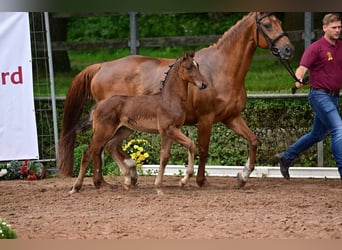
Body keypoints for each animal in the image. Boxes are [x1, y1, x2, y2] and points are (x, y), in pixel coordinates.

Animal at [70, 51, 206, 194]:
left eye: (198, 66)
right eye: (189, 67)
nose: (204, 84)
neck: (169, 99)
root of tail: (98, 106)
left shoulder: (170, 132)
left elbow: (166, 156)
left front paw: (162, 186)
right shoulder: (168, 130)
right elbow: (189, 145)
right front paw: (179, 181)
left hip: (123, 130)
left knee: (110, 146)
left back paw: (127, 181)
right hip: (103, 132)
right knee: (88, 153)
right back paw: (75, 187)